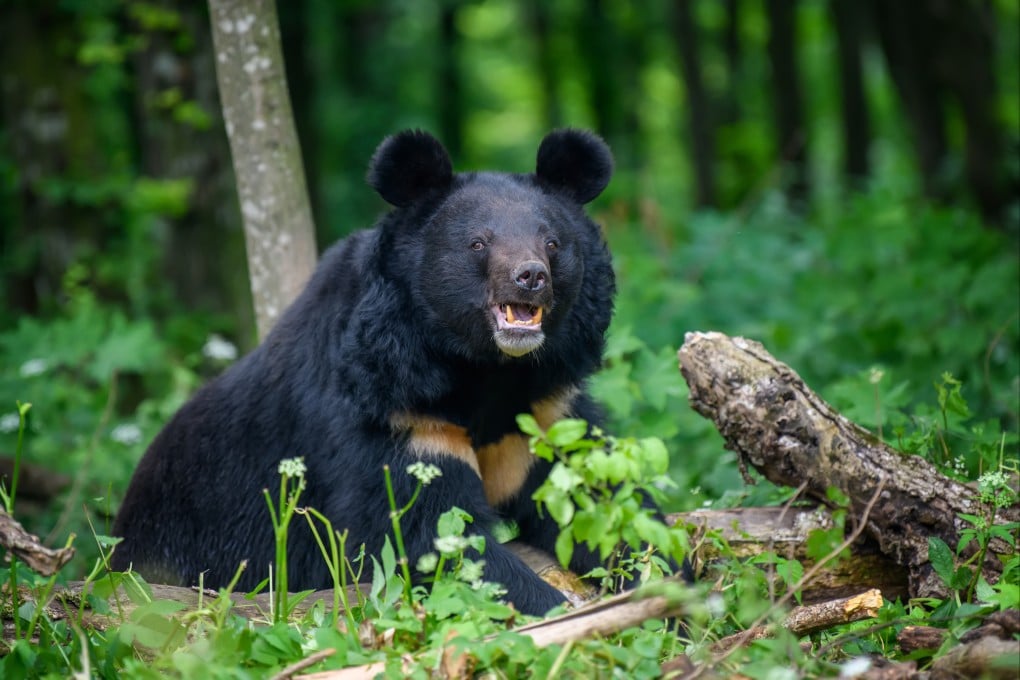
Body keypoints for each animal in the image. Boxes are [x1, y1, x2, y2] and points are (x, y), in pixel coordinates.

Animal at [112, 128, 639, 616]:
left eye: (552, 243)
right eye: (478, 243)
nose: (530, 277)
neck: (485, 369)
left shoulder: (544, 411)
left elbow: (598, 498)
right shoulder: (392, 413)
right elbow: (427, 535)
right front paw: (558, 609)